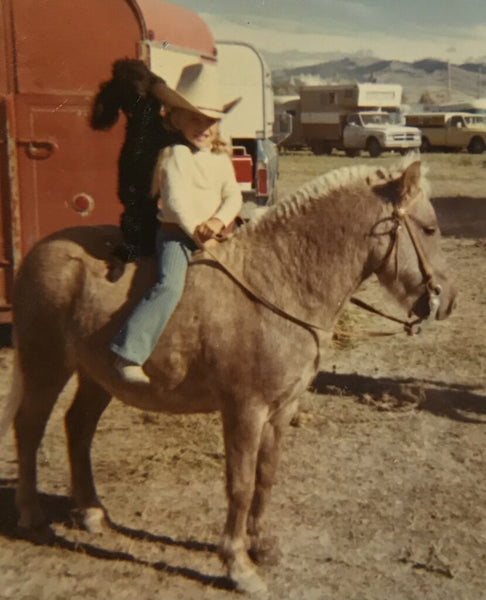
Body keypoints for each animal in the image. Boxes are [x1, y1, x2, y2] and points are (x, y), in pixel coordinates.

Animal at [2, 157, 456, 592]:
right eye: (430, 228)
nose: (448, 300)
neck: (278, 282)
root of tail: (38, 253)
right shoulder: (244, 411)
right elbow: (239, 484)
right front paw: (238, 566)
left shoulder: (281, 409)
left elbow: (266, 475)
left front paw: (263, 546)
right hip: (46, 365)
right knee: (29, 427)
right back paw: (31, 514)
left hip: (96, 376)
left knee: (77, 427)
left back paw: (92, 512)